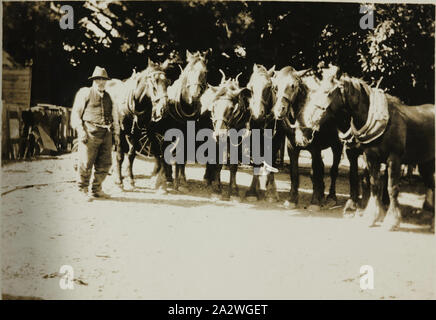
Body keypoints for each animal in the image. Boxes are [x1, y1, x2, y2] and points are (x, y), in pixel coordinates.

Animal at [107, 58, 170, 190]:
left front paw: (130, 179)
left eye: (167, 82)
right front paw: (119, 181)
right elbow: (120, 156)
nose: (164, 109)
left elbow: (131, 155)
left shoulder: (137, 132)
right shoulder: (119, 131)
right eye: (154, 83)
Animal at [152, 50, 209, 192]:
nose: (195, 95)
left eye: (205, 72)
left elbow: (182, 158)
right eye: (189, 71)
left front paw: (182, 181)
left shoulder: (188, 135)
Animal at [270, 65, 346, 210]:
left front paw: (314, 202)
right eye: (275, 87)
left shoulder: (315, 149)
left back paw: (331, 197)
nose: (280, 110)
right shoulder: (292, 148)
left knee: (333, 171)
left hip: (337, 145)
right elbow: (294, 173)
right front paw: (292, 200)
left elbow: (315, 172)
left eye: (293, 85)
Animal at [294, 65, 434, 230]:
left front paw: (391, 220)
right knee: (431, 183)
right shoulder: (370, 156)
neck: (385, 122)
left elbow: (391, 187)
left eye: (327, 92)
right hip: (426, 162)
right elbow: (373, 184)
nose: (307, 122)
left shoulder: (394, 159)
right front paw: (371, 216)